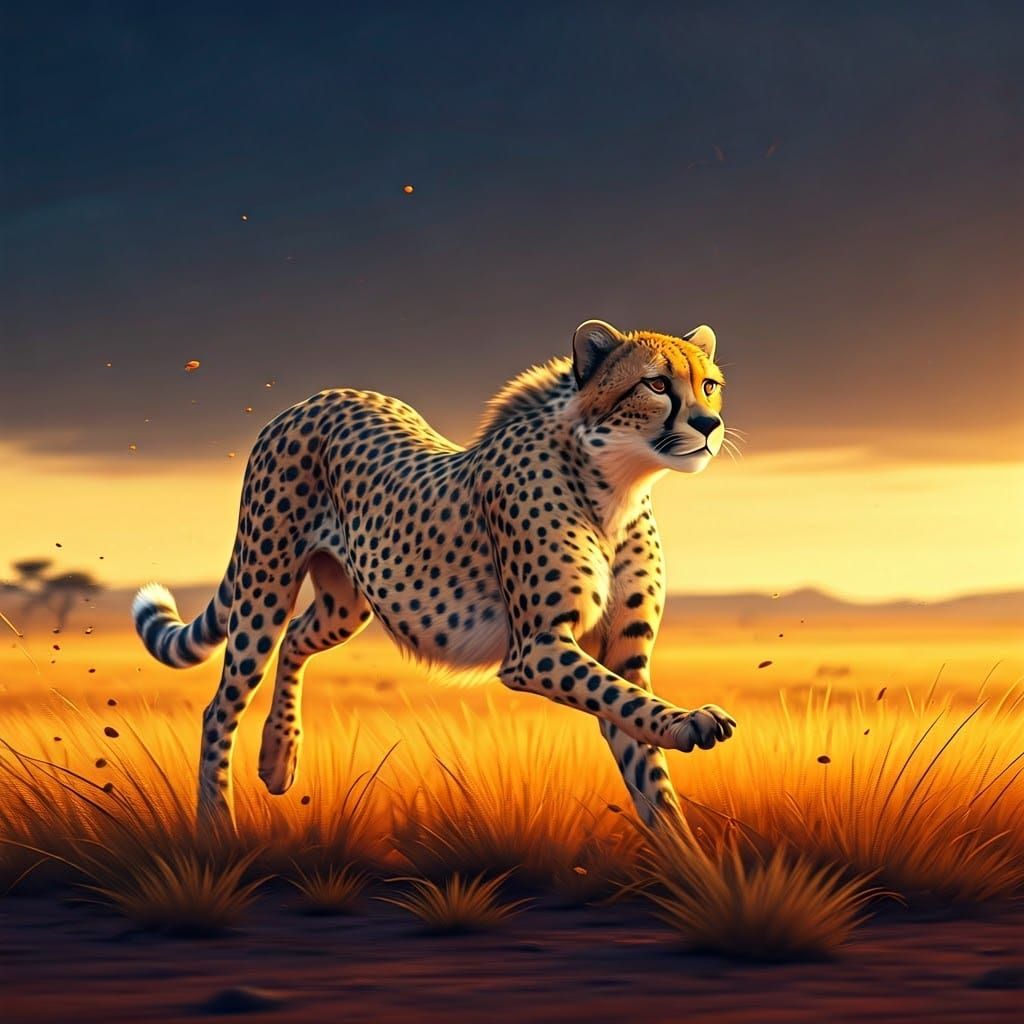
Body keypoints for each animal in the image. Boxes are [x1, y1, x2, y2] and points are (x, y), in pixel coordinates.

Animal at [133, 319, 737, 829]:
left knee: (298, 639)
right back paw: (217, 827)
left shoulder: (622, 653)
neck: (617, 485)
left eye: (708, 385)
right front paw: (692, 721)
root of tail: (313, 399)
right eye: (656, 384)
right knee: (220, 707)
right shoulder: (536, 650)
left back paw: (280, 757)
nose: (709, 425)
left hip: (348, 603)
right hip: (264, 584)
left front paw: (691, 868)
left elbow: (645, 763)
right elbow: (625, 700)